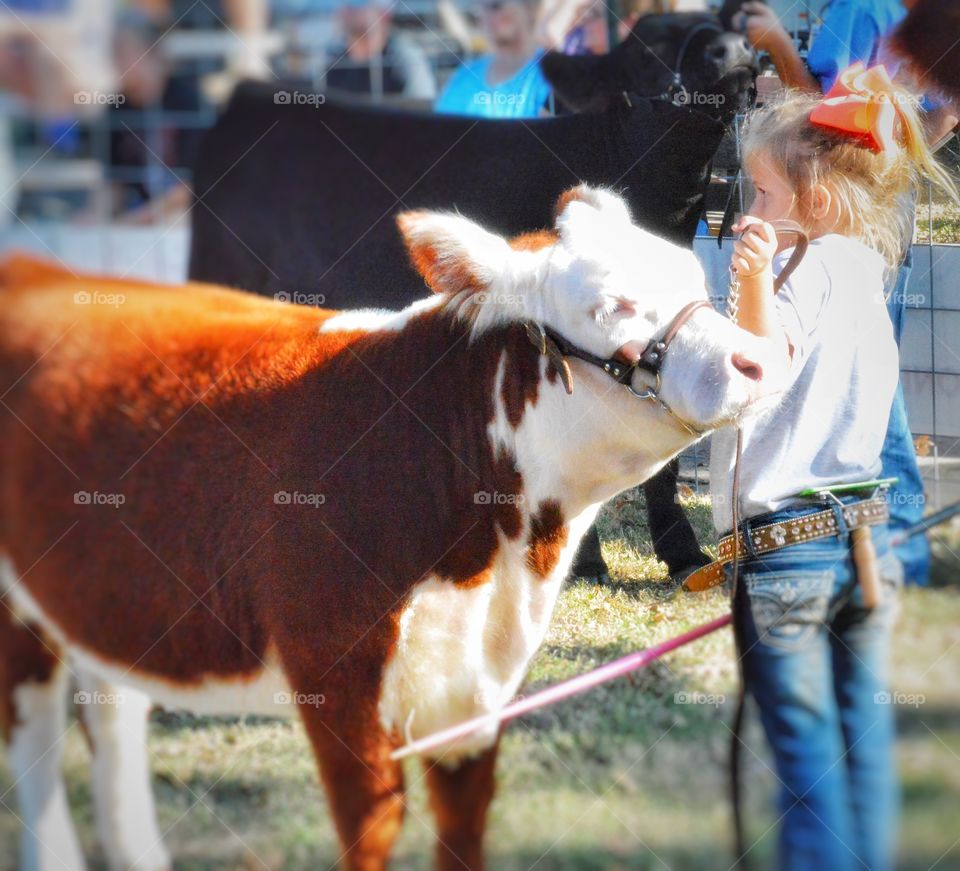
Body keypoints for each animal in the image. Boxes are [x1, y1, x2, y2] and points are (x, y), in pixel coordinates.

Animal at [0, 187, 780, 868]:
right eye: (611, 305)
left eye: (695, 277)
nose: (759, 360)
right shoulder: (335, 672)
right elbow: (371, 828)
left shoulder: (474, 698)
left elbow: (464, 830)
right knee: (37, 748)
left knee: (113, 715)